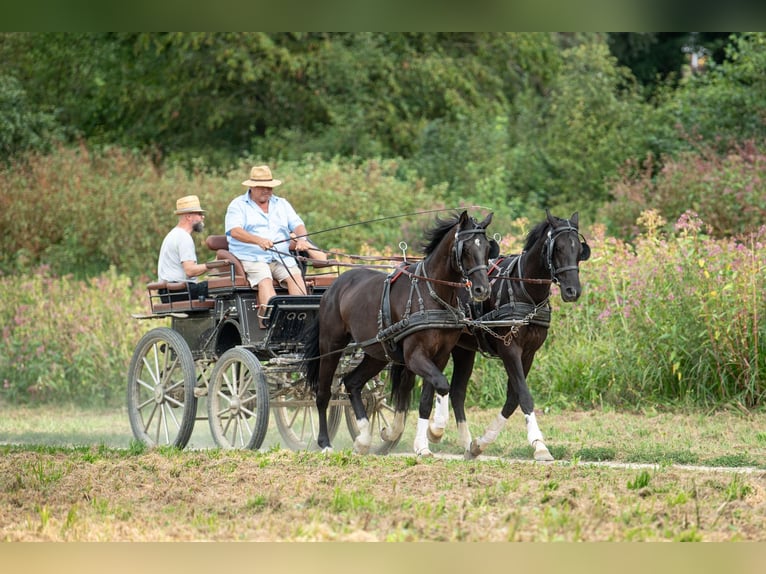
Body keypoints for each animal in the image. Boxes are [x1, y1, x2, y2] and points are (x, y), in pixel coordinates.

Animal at [302, 210, 497, 453]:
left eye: (488, 249)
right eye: (467, 249)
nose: (483, 290)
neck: (432, 293)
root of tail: (333, 287)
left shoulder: (440, 356)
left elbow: (428, 398)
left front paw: (422, 443)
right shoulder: (415, 356)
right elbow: (442, 385)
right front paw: (435, 431)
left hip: (377, 353)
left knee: (352, 383)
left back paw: (363, 438)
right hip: (331, 346)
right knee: (322, 393)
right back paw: (325, 443)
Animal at [413, 210, 590, 459]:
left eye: (578, 249)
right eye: (558, 248)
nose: (572, 291)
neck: (524, 290)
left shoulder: (529, 353)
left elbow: (513, 398)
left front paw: (481, 443)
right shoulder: (509, 349)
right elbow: (524, 395)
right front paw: (539, 444)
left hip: (463, 351)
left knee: (457, 392)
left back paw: (466, 442)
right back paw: (432, 432)